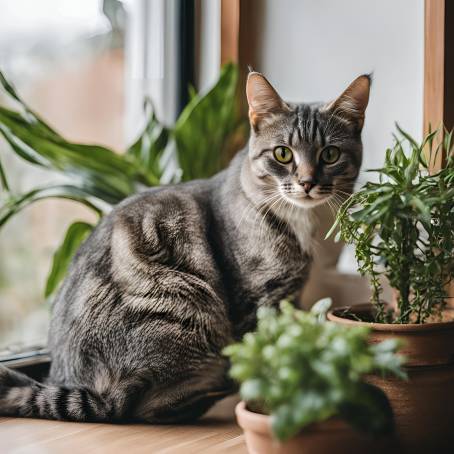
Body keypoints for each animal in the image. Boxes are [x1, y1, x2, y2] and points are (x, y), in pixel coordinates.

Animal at [0, 71, 368, 422]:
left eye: (330, 154)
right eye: (282, 153)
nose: (307, 183)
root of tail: (86, 390)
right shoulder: (258, 299)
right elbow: (263, 354)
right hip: (184, 305)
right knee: (143, 406)